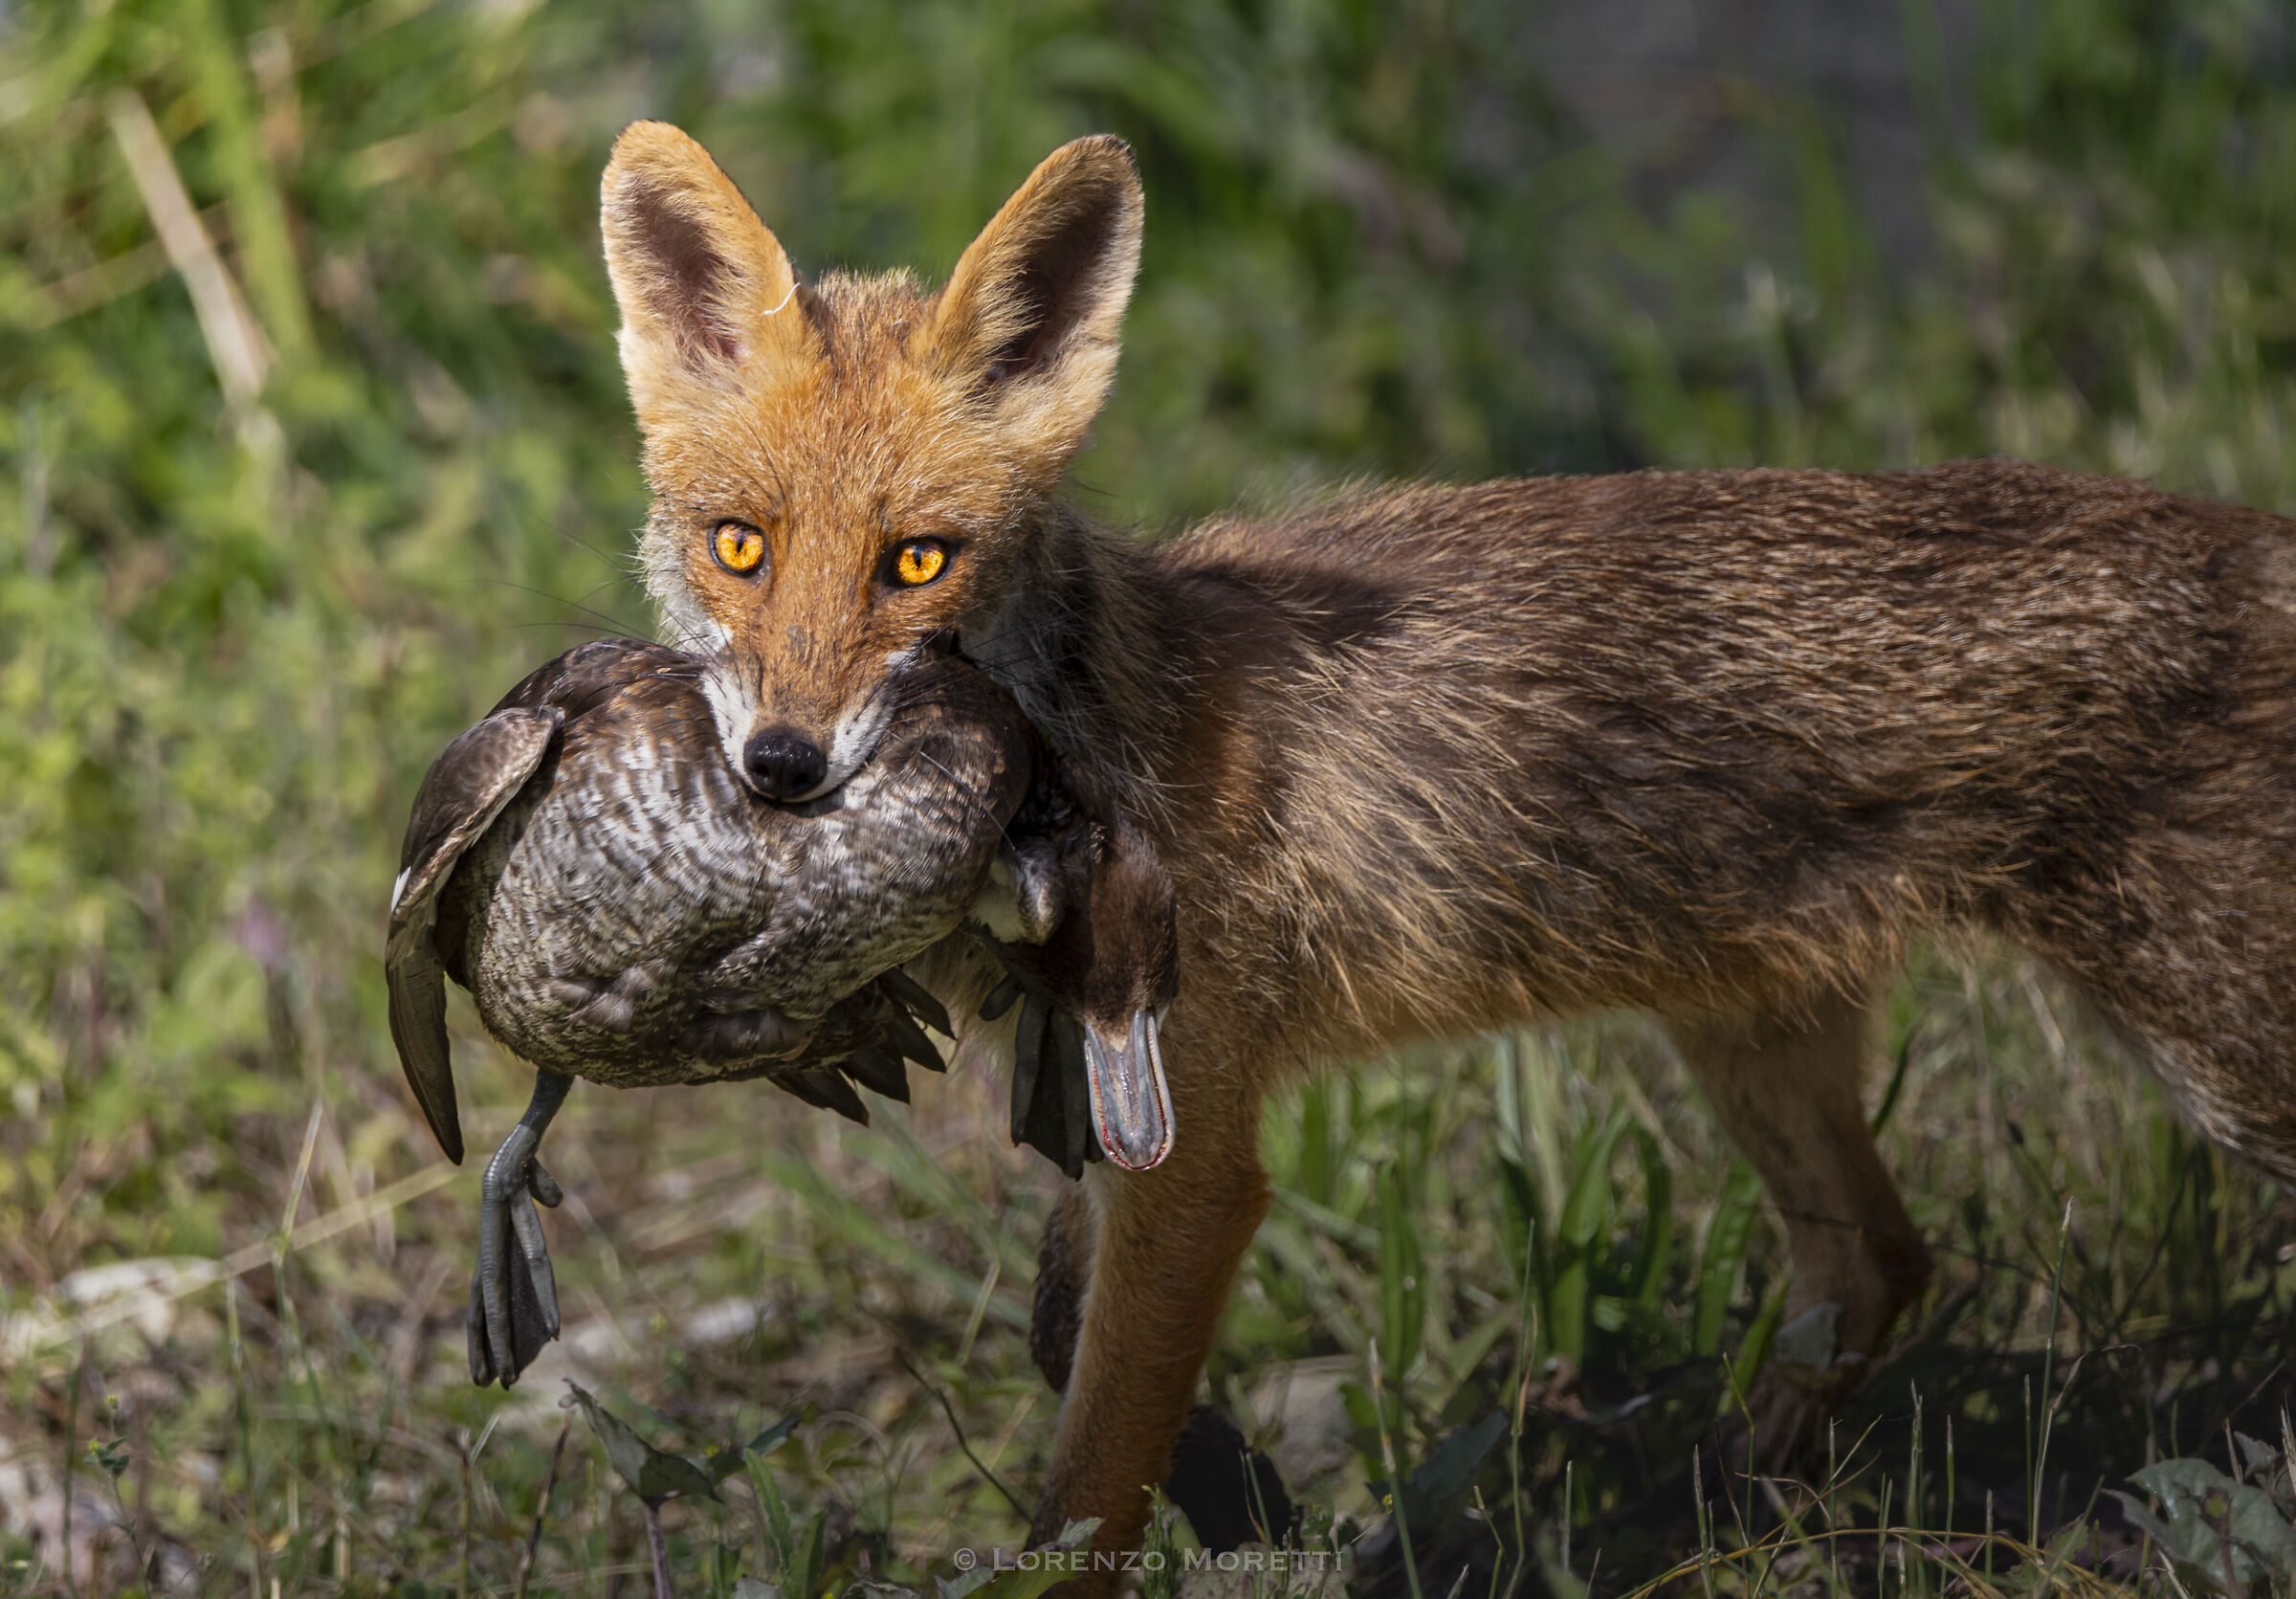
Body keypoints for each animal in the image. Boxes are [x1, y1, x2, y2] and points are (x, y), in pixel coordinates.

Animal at [595, 120, 2296, 1579]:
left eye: (917, 562)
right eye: (740, 546)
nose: (785, 765)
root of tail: (2246, 537)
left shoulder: (1199, 1149)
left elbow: (1084, 1482)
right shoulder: (1100, 1095)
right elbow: (1057, 1339)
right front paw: (1252, 1499)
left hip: (2222, 1062)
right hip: (1750, 1032)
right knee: (1878, 1258)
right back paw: (1711, 1513)